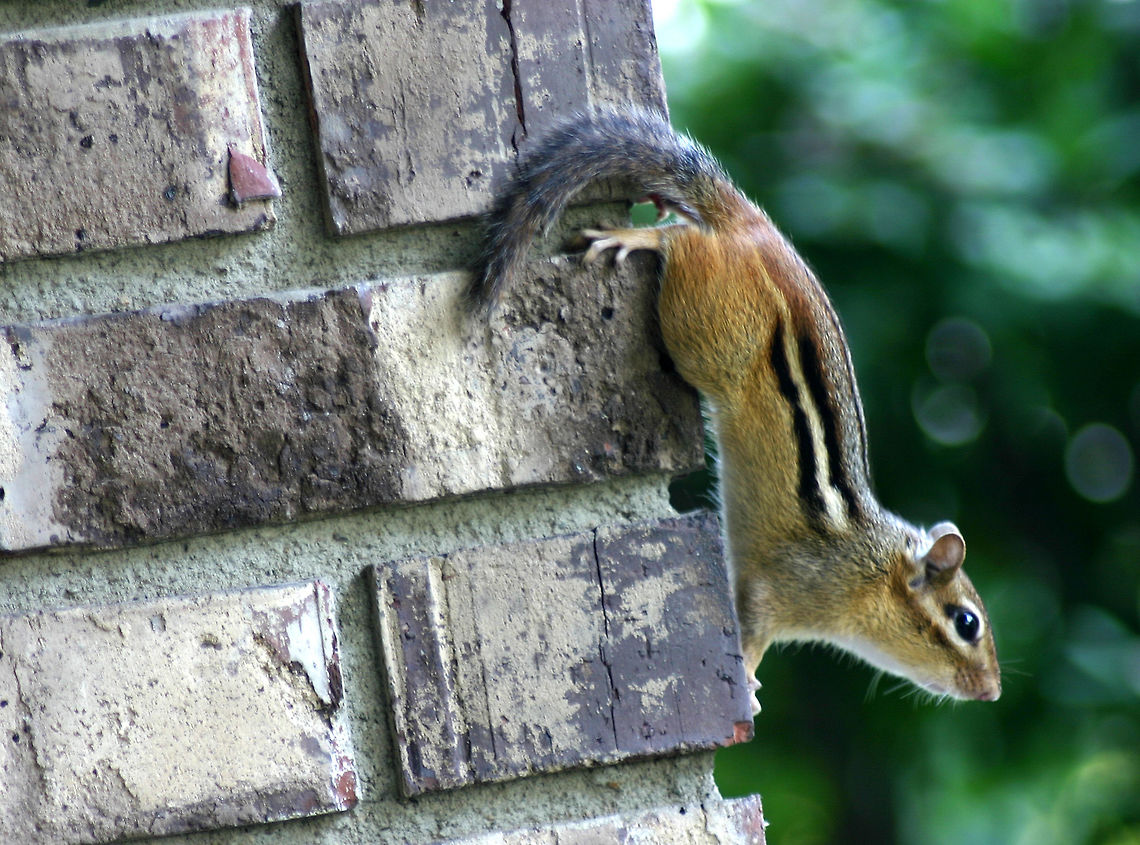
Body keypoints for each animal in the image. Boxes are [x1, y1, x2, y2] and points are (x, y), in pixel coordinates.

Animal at [471, 107, 1000, 709]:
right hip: (705, 330)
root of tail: (753, 225)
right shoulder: (779, 590)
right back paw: (639, 234)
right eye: (966, 623)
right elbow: (752, 634)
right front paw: (746, 685)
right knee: (683, 240)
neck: (872, 566)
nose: (991, 691)